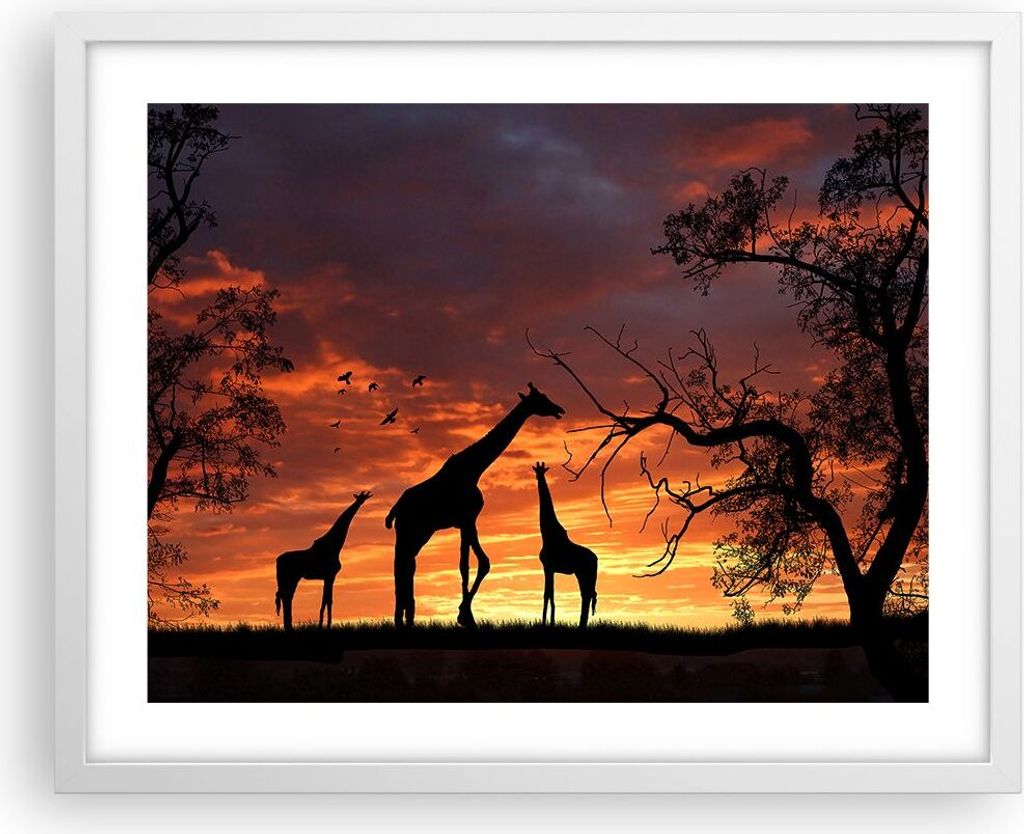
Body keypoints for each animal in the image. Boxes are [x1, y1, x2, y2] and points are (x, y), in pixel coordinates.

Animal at [274, 491, 372, 631]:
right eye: (360, 498)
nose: (361, 502)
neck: (335, 545)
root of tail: (277, 561)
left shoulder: (328, 577)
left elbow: (326, 601)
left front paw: (323, 625)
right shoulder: (330, 575)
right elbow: (328, 601)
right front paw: (326, 626)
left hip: (290, 578)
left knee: (286, 596)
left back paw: (289, 626)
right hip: (290, 577)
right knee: (286, 596)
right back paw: (289, 626)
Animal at [385, 383, 566, 628]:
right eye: (541, 399)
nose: (560, 409)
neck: (474, 469)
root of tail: (395, 509)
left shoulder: (464, 522)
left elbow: (465, 565)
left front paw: (465, 614)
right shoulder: (468, 519)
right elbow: (482, 562)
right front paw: (465, 616)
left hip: (420, 533)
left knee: (407, 564)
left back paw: (406, 618)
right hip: (410, 531)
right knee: (402, 565)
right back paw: (402, 619)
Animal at [533, 462, 598, 628]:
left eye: (542, 471)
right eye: (537, 471)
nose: (538, 477)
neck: (548, 534)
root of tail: (596, 559)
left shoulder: (547, 567)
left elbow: (547, 594)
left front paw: (546, 623)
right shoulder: (550, 568)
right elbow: (551, 594)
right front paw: (550, 622)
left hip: (584, 572)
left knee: (587, 594)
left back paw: (582, 625)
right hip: (582, 574)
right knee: (587, 594)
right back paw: (581, 625)